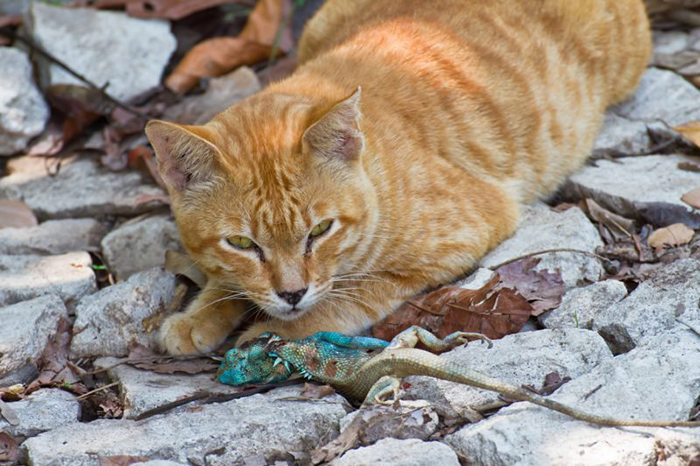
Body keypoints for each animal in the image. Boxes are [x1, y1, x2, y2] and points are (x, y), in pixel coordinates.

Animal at [146, 0, 652, 354]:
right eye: (242, 243)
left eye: (321, 230)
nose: (291, 293)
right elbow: (226, 279)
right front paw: (201, 314)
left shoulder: (461, 235)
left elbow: (350, 296)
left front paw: (276, 330)